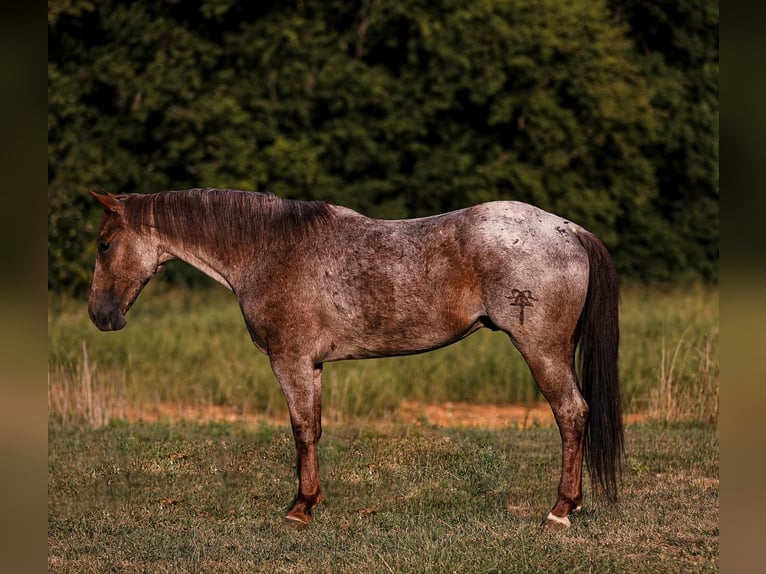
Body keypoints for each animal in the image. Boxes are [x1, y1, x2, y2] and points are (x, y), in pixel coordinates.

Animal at [88, 188, 623, 528]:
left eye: (104, 244)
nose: (100, 315)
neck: (268, 250)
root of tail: (568, 229)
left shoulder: (290, 361)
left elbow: (301, 430)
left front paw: (299, 509)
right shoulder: (312, 366)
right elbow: (315, 429)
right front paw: (311, 502)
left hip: (542, 350)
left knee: (571, 414)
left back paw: (560, 510)